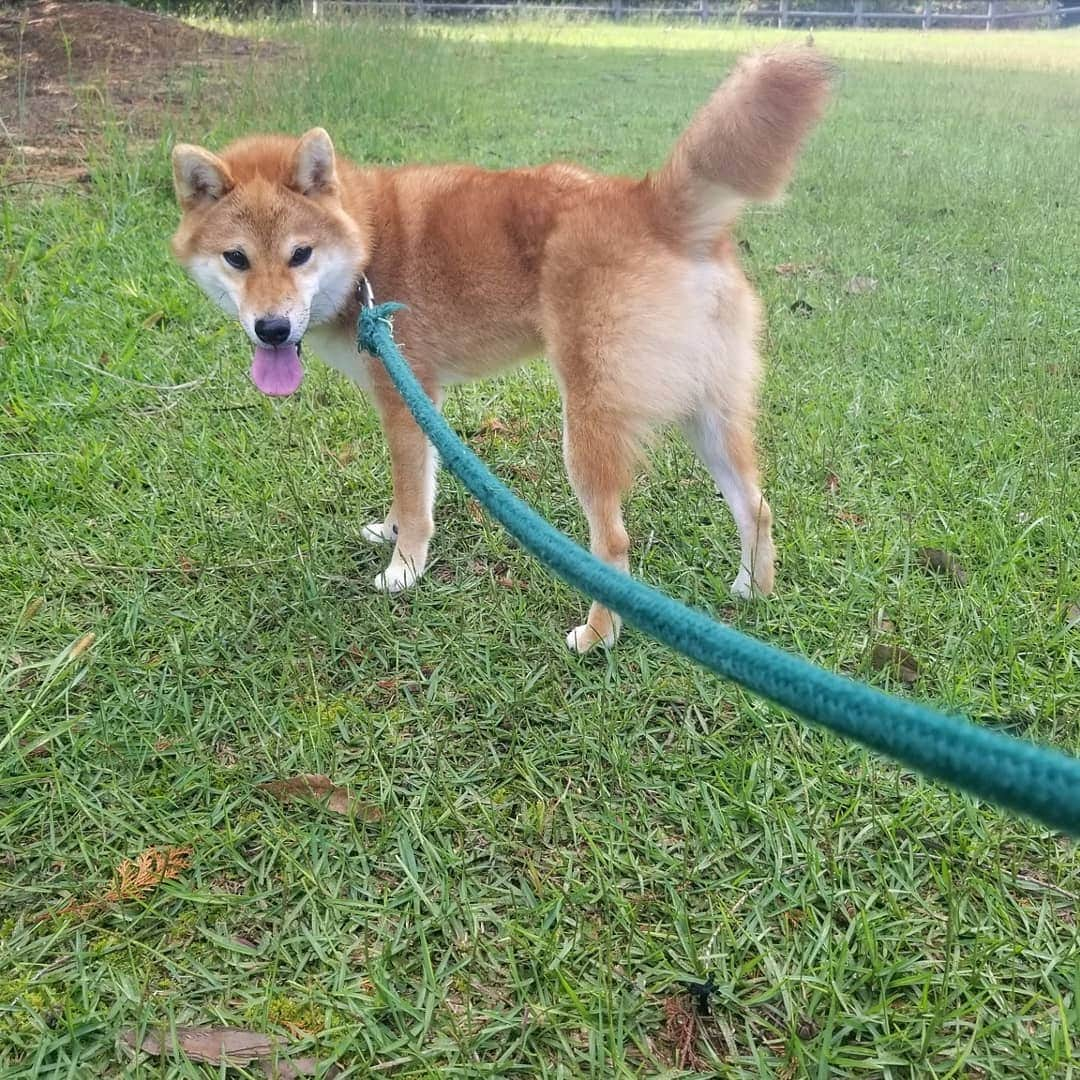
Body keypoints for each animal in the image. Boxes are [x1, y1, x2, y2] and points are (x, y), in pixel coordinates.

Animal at [168, 48, 829, 648]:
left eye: (300, 254)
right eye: (236, 258)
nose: (273, 329)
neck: (368, 242)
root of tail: (649, 202)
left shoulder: (406, 395)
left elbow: (415, 498)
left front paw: (404, 569)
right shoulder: (415, 401)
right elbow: (412, 488)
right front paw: (390, 531)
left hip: (589, 423)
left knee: (614, 544)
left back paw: (598, 636)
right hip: (705, 409)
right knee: (756, 506)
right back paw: (752, 591)